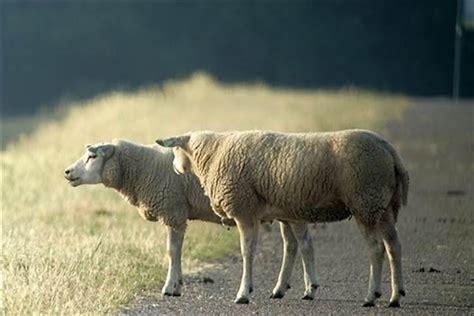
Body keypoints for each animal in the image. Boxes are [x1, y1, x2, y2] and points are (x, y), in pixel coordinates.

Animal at [64, 140, 318, 298]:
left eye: (92, 156)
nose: (67, 172)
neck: (143, 169)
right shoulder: (177, 214)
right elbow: (177, 251)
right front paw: (177, 285)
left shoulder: (173, 211)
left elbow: (172, 251)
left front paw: (170, 287)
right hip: (284, 211)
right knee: (291, 245)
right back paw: (280, 289)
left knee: (305, 244)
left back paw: (310, 289)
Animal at [157, 128, 410, 306]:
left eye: (176, 150)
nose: (175, 168)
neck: (213, 154)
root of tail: (390, 151)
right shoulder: (281, 213)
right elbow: (291, 247)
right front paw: (286, 289)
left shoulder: (244, 210)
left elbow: (247, 251)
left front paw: (244, 293)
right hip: (384, 205)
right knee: (394, 246)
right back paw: (395, 297)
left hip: (365, 200)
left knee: (376, 248)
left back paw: (371, 296)